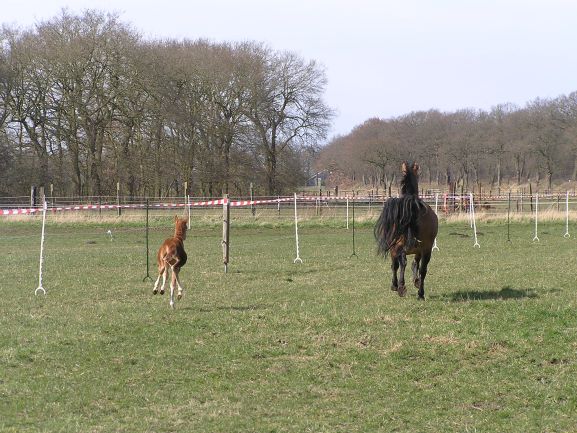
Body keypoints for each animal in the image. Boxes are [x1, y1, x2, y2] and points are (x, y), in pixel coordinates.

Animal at [374, 160, 436, 298]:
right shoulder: (419, 250)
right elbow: (414, 265)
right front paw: (414, 282)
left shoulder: (395, 249)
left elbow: (396, 266)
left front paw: (395, 285)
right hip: (425, 249)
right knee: (421, 268)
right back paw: (420, 293)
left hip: (402, 247)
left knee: (402, 262)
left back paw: (402, 287)